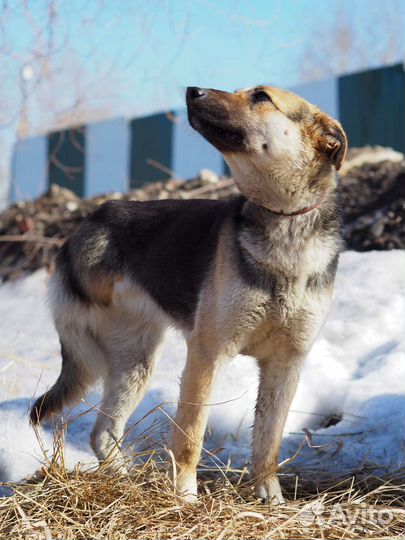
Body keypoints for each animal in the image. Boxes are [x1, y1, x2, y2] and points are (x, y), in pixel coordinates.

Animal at [31, 84, 348, 502]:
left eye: (261, 97)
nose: (191, 90)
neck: (284, 222)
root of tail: (92, 218)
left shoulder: (286, 364)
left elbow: (269, 443)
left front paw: (270, 498)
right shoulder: (207, 354)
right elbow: (190, 436)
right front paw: (184, 497)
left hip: (135, 365)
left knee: (103, 433)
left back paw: (124, 480)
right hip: (123, 353)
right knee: (104, 425)